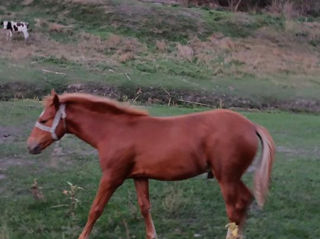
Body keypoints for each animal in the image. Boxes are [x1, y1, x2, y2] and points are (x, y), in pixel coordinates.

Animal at [26, 90, 276, 239]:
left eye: (44, 119)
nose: (30, 146)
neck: (115, 131)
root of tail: (251, 125)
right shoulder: (139, 176)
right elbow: (145, 207)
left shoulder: (112, 176)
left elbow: (95, 209)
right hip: (232, 177)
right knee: (245, 202)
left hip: (227, 177)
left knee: (235, 207)